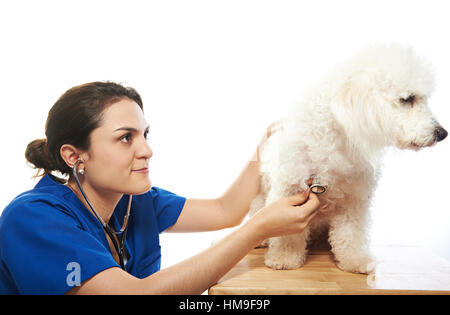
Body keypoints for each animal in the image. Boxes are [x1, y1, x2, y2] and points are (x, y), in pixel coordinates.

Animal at [250, 43, 446, 274]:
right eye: (408, 99)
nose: (442, 133)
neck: (336, 140)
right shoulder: (289, 189)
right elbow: (287, 235)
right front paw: (284, 258)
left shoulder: (354, 199)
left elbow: (350, 234)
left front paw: (355, 260)